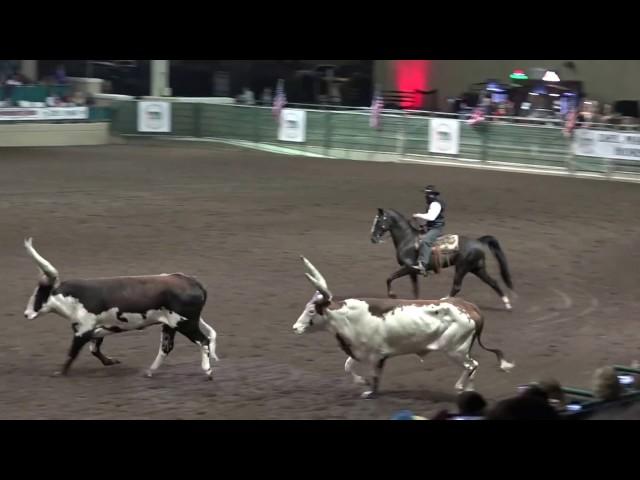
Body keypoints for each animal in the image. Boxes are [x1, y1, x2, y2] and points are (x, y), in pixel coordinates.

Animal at [22, 236, 219, 378]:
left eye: (39, 294)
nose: (26, 314)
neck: (75, 298)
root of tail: (191, 281)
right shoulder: (96, 329)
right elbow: (94, 349)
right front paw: (110, 362)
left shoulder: (83, 330)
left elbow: (72, 353)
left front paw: (59, 373)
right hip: (170, 325)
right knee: (166, 348)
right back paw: (149, 372)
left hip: (186, 324)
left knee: (203, 341)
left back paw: (207, 371)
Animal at [292, 256, 512, 400]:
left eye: (311, 311)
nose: (295, 328)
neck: (349, 317)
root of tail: (470, 308)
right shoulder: (361, 351)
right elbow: (348, 366)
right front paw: (362, 383)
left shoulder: (376, 356)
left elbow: (374, 377)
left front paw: (369, 391)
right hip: (462, 350)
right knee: (472, 367)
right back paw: (469, 392)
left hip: (456, 350)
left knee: (472, 365)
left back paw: (460, 388)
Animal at [370, 208, 516, 310]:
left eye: (379, 221)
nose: (373, 239)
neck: (408, 240)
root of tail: (478, 241)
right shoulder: (413, 272)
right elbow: (415, 288)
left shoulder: (408, 268)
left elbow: (389, 278)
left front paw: (392, 295)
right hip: (477, 268)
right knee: (493, 282)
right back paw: (507, 304)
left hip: (462, 267)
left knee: (457, 286)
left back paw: (444, 300)